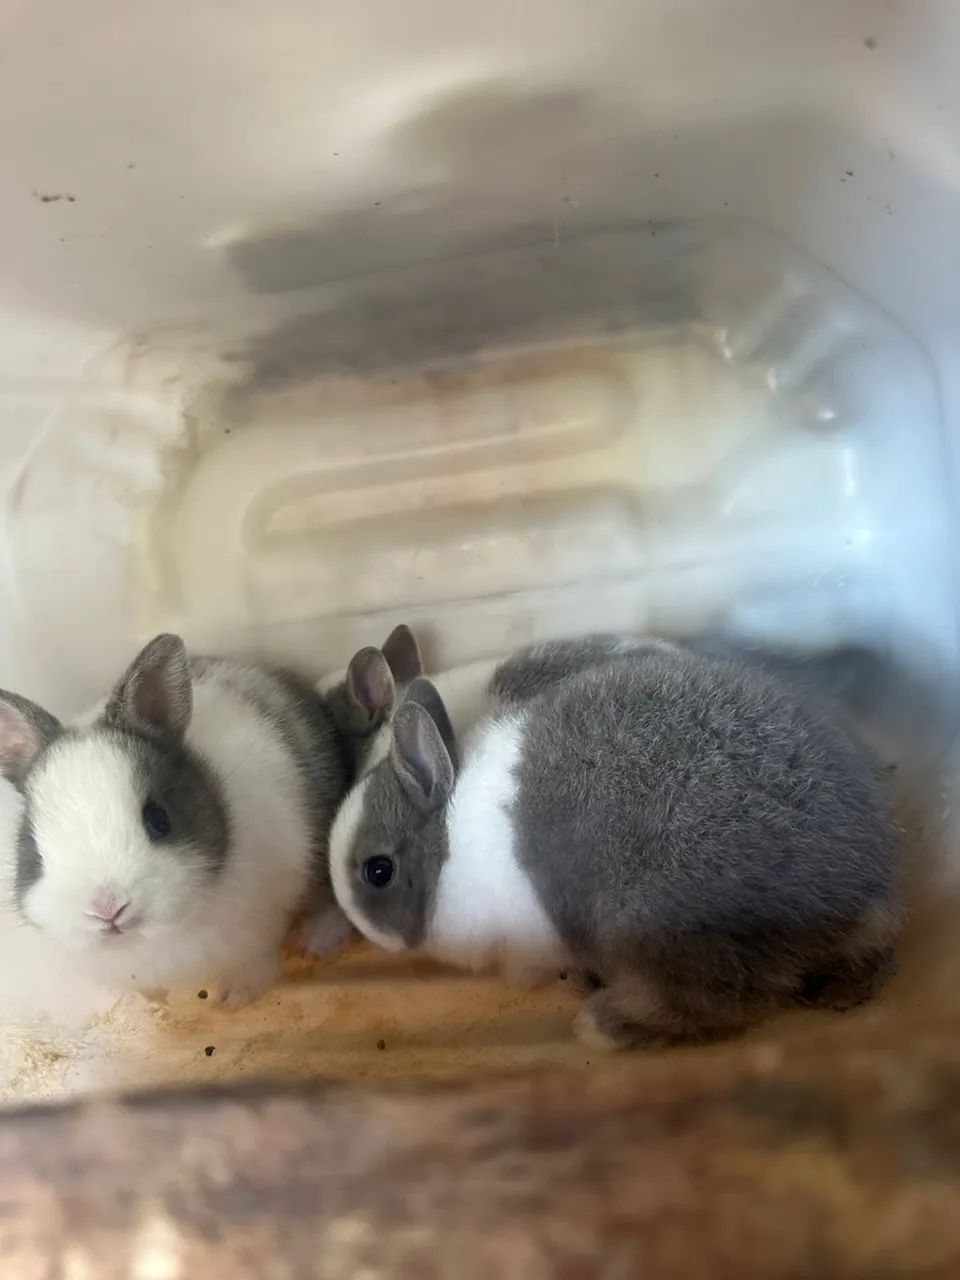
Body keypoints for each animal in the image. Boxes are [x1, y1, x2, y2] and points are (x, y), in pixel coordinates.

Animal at [0, 633, 352, 1006]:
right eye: (33, 848)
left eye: (158, 819)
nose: (108, 909)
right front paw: (157, 999)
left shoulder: (260, 925)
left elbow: (257, 961)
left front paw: (235, 997)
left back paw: (320, 939)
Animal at [327, 645, 902, 1049]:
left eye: (378, 870)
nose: (364, 932)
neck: (446, 848)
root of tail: (866, 891)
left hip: (655, 929)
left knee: (718, 1005)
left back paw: (602, 1026)